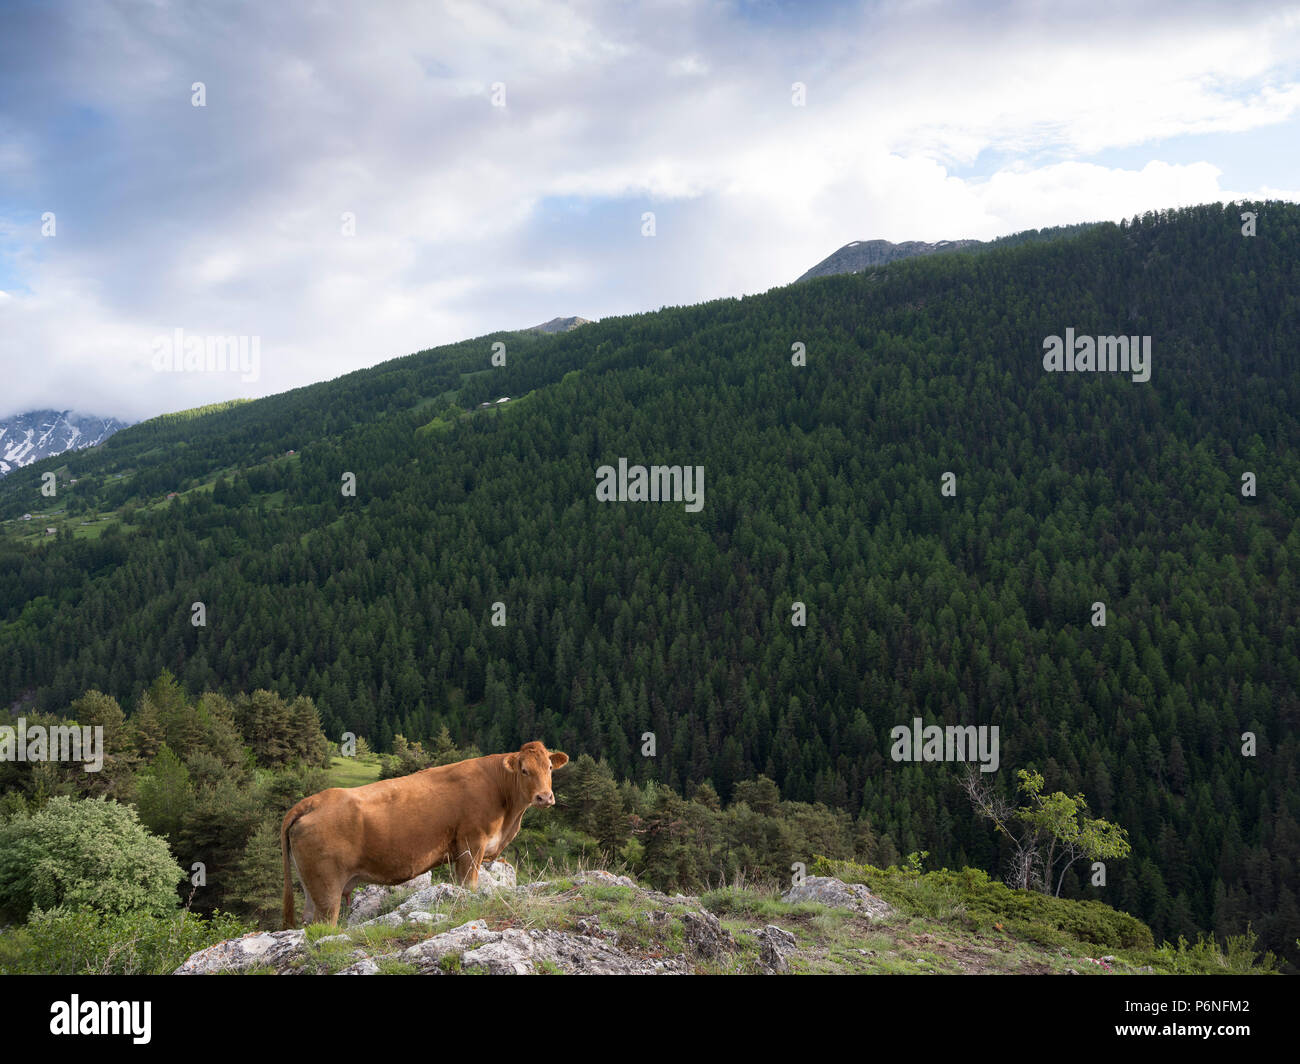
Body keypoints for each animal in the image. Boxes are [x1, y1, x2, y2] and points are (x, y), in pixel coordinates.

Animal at [281, 740, 569, 927]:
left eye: (549, 768)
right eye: (524, 770)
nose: (545, 797)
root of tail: (313, 801)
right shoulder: (472, 845)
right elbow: (469, 886)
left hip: (311, 888)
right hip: (327, 889)